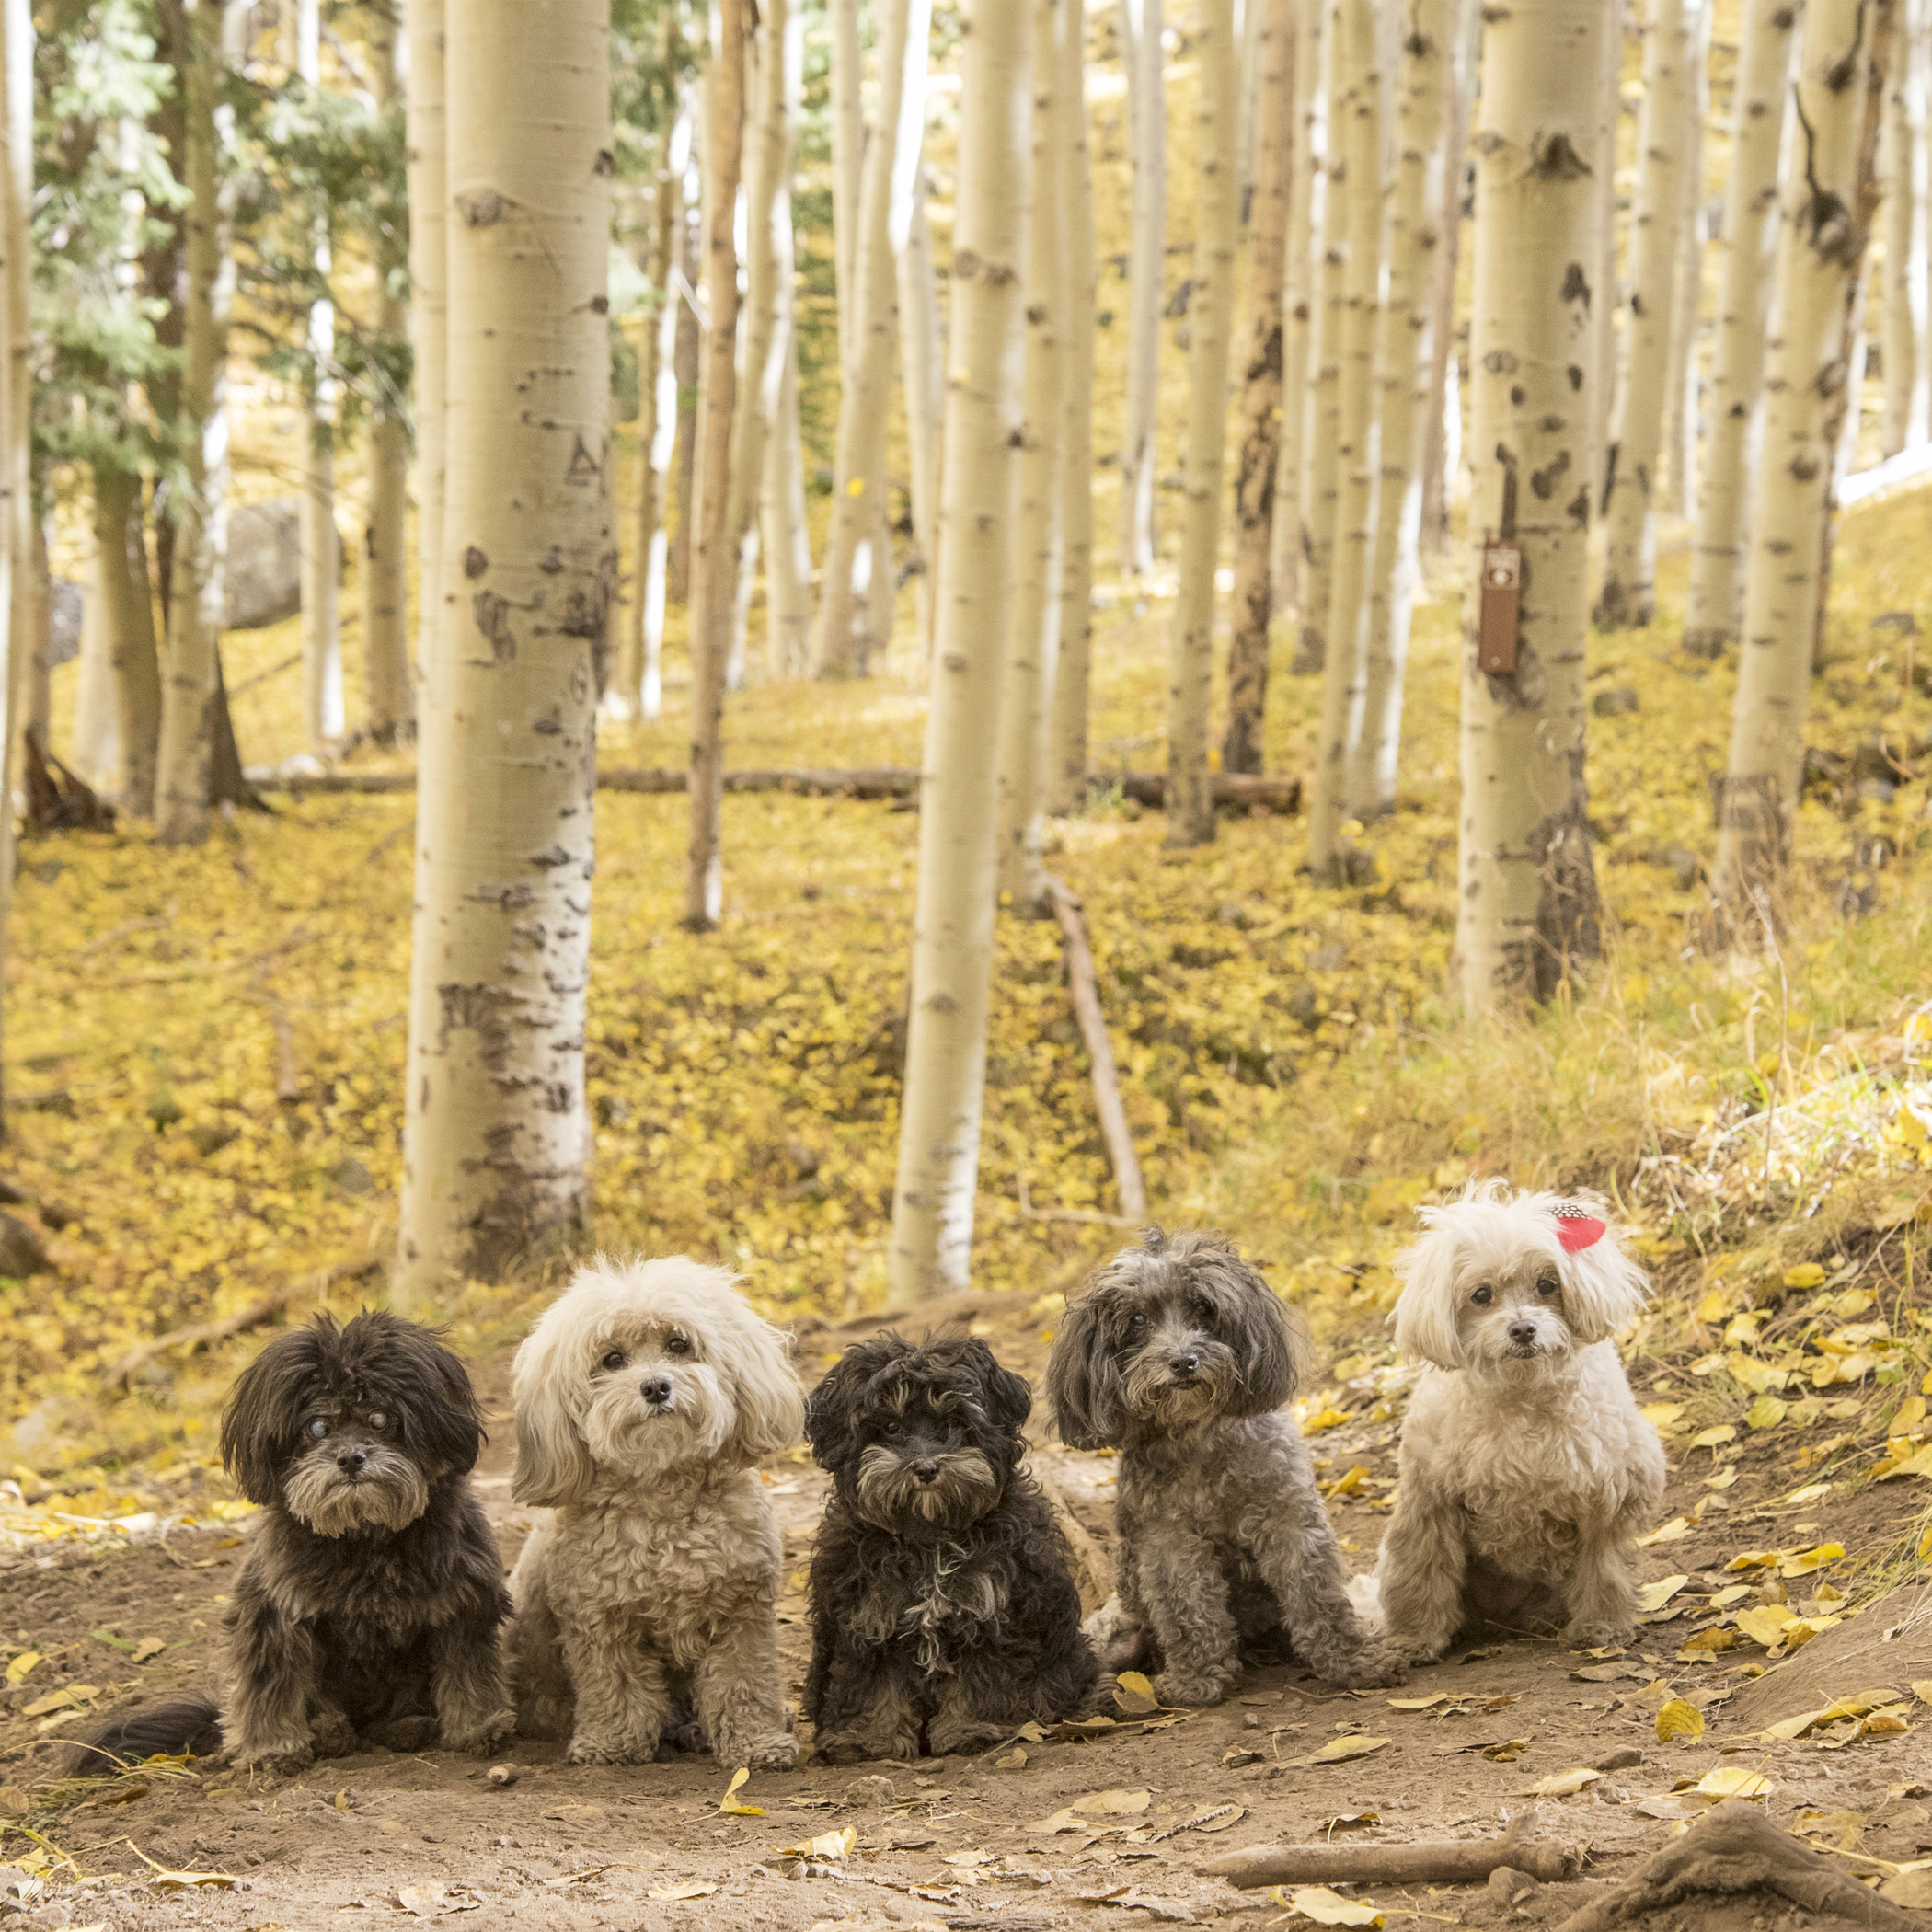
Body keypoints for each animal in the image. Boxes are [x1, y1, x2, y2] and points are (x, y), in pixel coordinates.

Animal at [506, 1251, 807, 1769]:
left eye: (678, 1345)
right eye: (612, 1359)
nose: (655, 1387)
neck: (663, 1499)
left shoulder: (741, 1612)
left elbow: (745, 1683)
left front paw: (757, 1744)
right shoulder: (599, 1618)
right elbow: (614, 1683)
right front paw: (612, 1744)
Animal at [803, 1337, 1105, 1762]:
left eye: (954, 1423)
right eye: (891, 1426)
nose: (926, 1468)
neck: (929, 1538)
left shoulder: (991, 1611)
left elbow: (982, 1679)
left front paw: (970, 1729)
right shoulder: (867, 1616)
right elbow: (871, 1684)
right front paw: (869, 1739)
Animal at [1043, 1228, 1406, 1699]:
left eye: (1203, 1308)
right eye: (1138, 1320)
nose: (1183, 1362)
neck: (1199, 1438)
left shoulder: (1288, 1518)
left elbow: (1318, 1597)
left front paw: (1354, 1660)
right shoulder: (1169, 1540)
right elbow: (1188, 1610)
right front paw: (1198, 1679)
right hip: (1115, 1635)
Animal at [1367, 1174, 1669, 1661]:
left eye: (1547, 1285)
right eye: (1481, 1295)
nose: (1524, 1329)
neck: (1522, 1396)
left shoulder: (1606, 1497)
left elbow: (1602, 1570)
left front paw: (1601, 1627)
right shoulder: (1429, 1500)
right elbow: (1419, 1572)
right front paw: (1412, 1639)